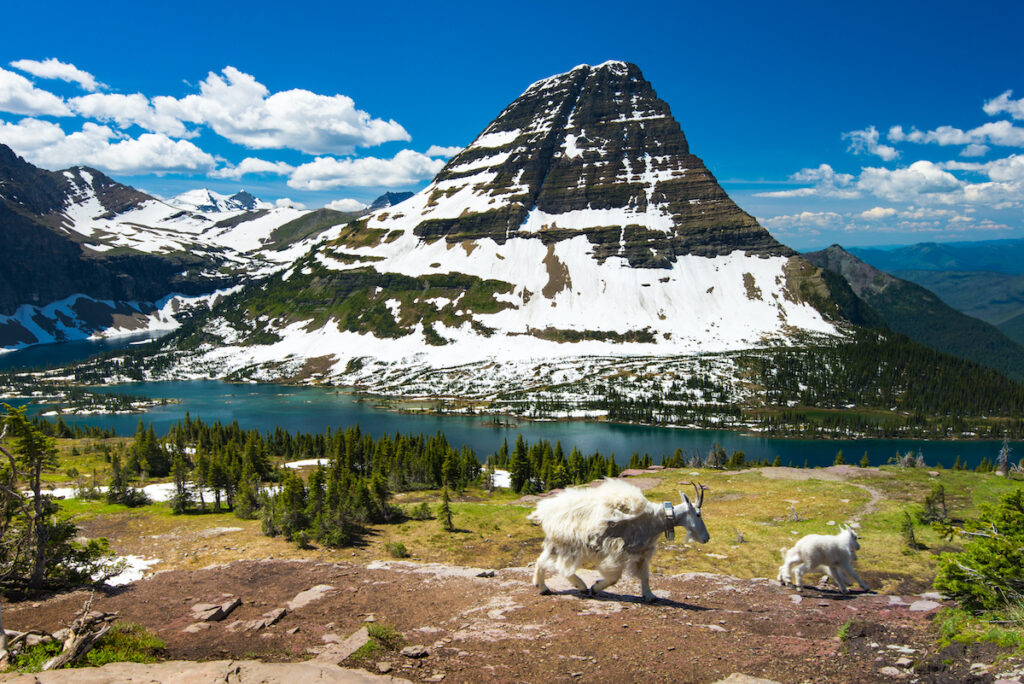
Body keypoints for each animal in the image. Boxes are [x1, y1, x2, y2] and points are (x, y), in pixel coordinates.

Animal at [532, 479, 708, 602]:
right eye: (698, 514)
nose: (706, 538)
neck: (655, 520)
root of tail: (545, 511)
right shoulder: (617, 550)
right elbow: (614, 577)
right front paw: (595, 587)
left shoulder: (642, 551)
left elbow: (645, 576)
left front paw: (650, 596)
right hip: (568, 544)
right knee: (561, 567)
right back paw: (581, 586)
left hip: (556, 544)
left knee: (542, 561)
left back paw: (543, 587)